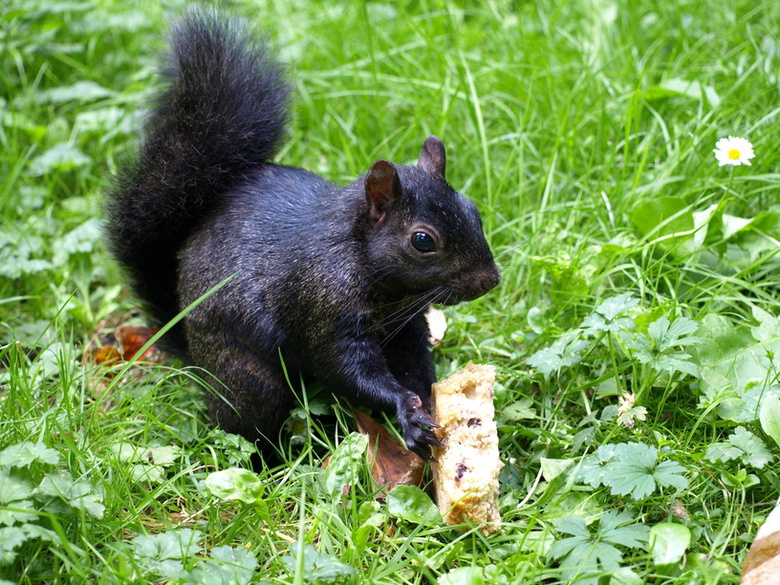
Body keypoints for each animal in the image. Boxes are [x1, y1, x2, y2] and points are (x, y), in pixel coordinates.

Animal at [106, 9, 500, 456]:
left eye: (474, 211)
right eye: (422, 241)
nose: (489, 280)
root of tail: (191, 351)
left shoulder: (407, 326)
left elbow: (414, 362)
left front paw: (433, 400)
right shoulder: (322, 309)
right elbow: (344, 368)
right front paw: (406, 410)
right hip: (247, 377)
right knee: (249, 420)